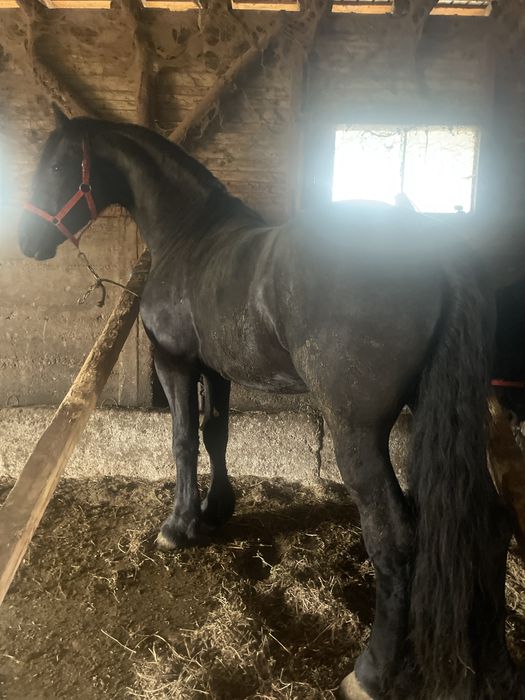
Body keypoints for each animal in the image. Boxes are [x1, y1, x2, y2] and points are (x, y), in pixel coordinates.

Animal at [18, 106, 521, 700]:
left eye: (56, 165)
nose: (27, 239)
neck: (190, 236)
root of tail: (432, 247)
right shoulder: (217, 370)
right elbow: (216, 433)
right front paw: (216, 511)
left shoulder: (174, 362)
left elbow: (184, 440)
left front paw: (177, 526)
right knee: (490, 525)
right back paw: (493, 661)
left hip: (357, 431)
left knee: (395, 537)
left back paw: (371, 672)